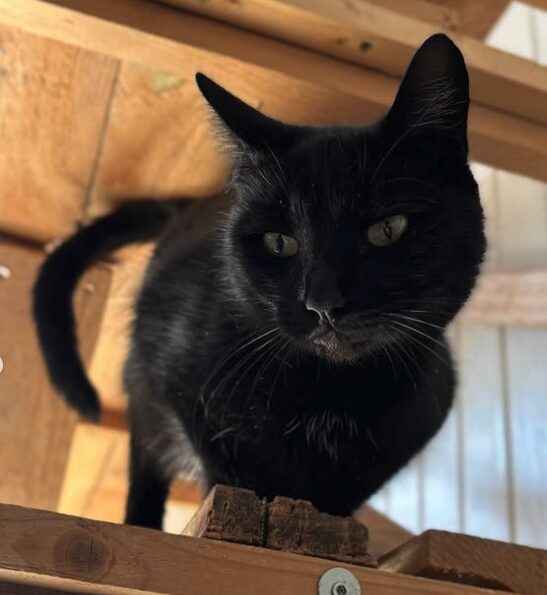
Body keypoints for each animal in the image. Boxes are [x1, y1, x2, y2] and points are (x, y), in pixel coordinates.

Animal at [34, 36, 486, 532]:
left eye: (388, 229)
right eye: (278, 242)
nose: (323, 303)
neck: (331, 396)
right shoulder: (181, 387)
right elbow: (226, 470)